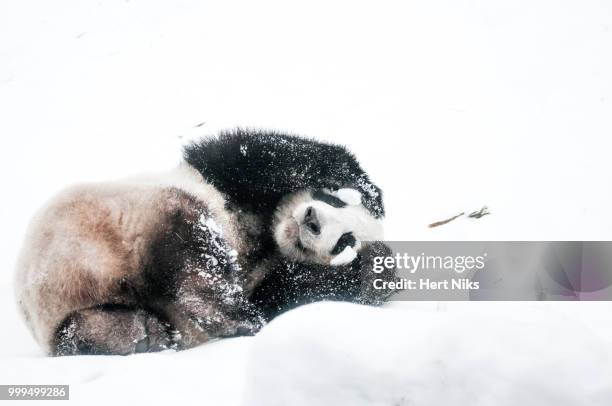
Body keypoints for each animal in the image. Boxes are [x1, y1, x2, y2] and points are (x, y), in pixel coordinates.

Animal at [15, 128, 396, 354]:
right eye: (334, 201)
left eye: (345, 241)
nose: (313, 221)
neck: (267, 236)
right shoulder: (222, 178)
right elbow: (260, 156)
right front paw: (358, 183)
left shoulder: (270, 276)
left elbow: (288, 292)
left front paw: (374, 269)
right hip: (111, 219)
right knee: (195, 241)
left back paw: (144, 331)